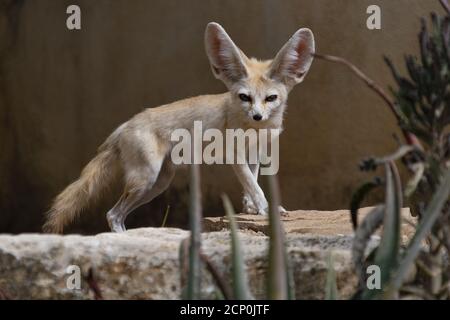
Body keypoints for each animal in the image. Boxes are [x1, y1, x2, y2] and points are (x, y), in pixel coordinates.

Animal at [44, 21, 314, 232]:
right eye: (244, 97)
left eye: (271, 98)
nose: (258, 116)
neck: (254, 131)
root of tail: (125, 124)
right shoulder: (234, 155)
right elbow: (255, 186)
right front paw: (266, 209)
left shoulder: (254, 153)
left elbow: (252, 183)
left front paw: (250, 209)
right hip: (145, 180)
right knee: (112, 214)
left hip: (157, 184)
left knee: (116, 215)